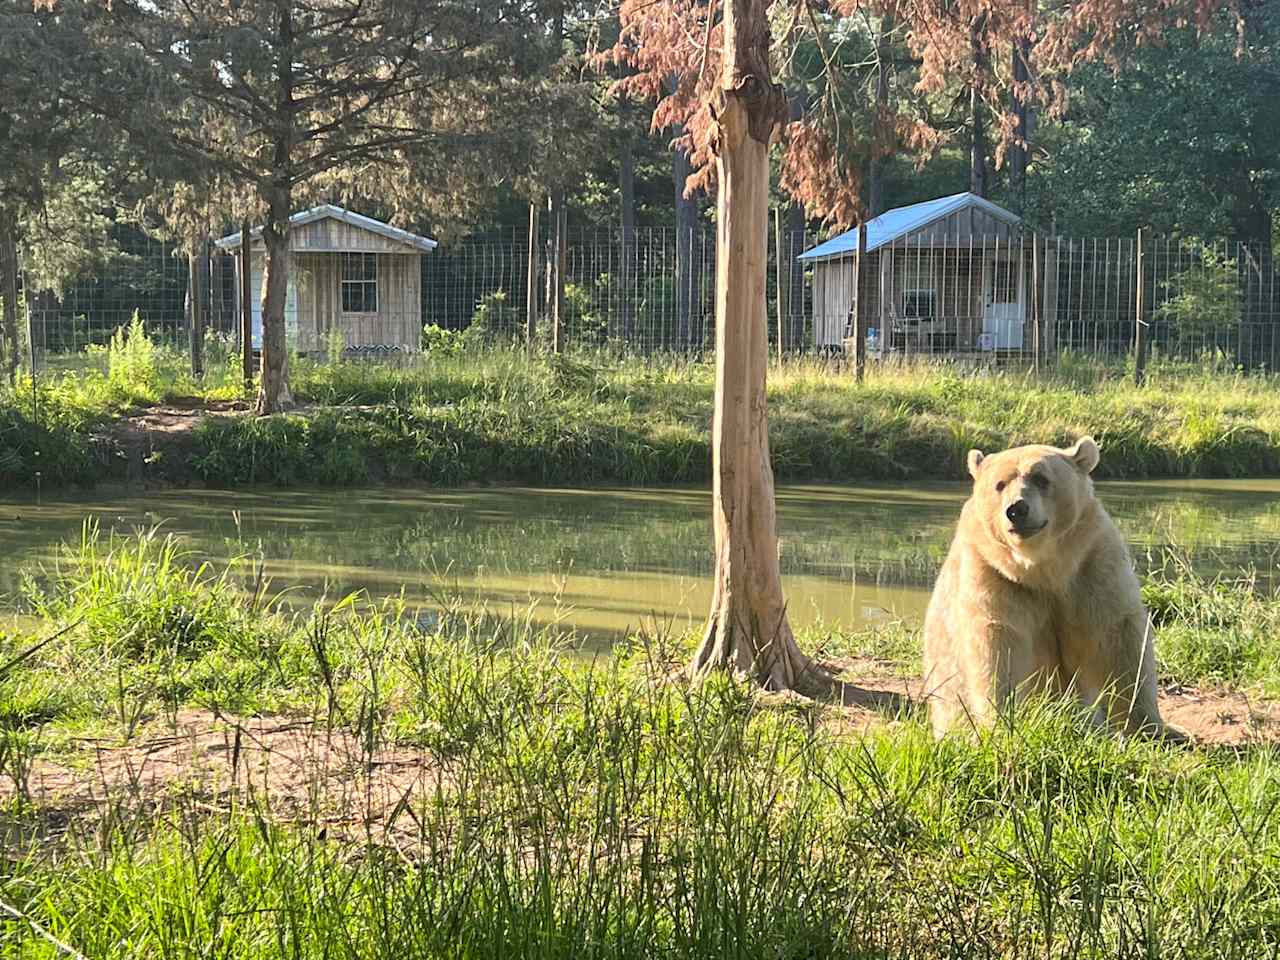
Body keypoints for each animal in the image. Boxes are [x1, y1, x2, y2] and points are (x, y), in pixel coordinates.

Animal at [921, 440, 1172, 742]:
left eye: (1041, 478)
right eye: (999, 484)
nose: (1017, 509)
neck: (1042, 569)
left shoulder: (1091, 564)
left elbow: (1118, 637)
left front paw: (1148, 727)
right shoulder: (994, 572)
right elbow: (997, 645)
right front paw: (1003, 724)